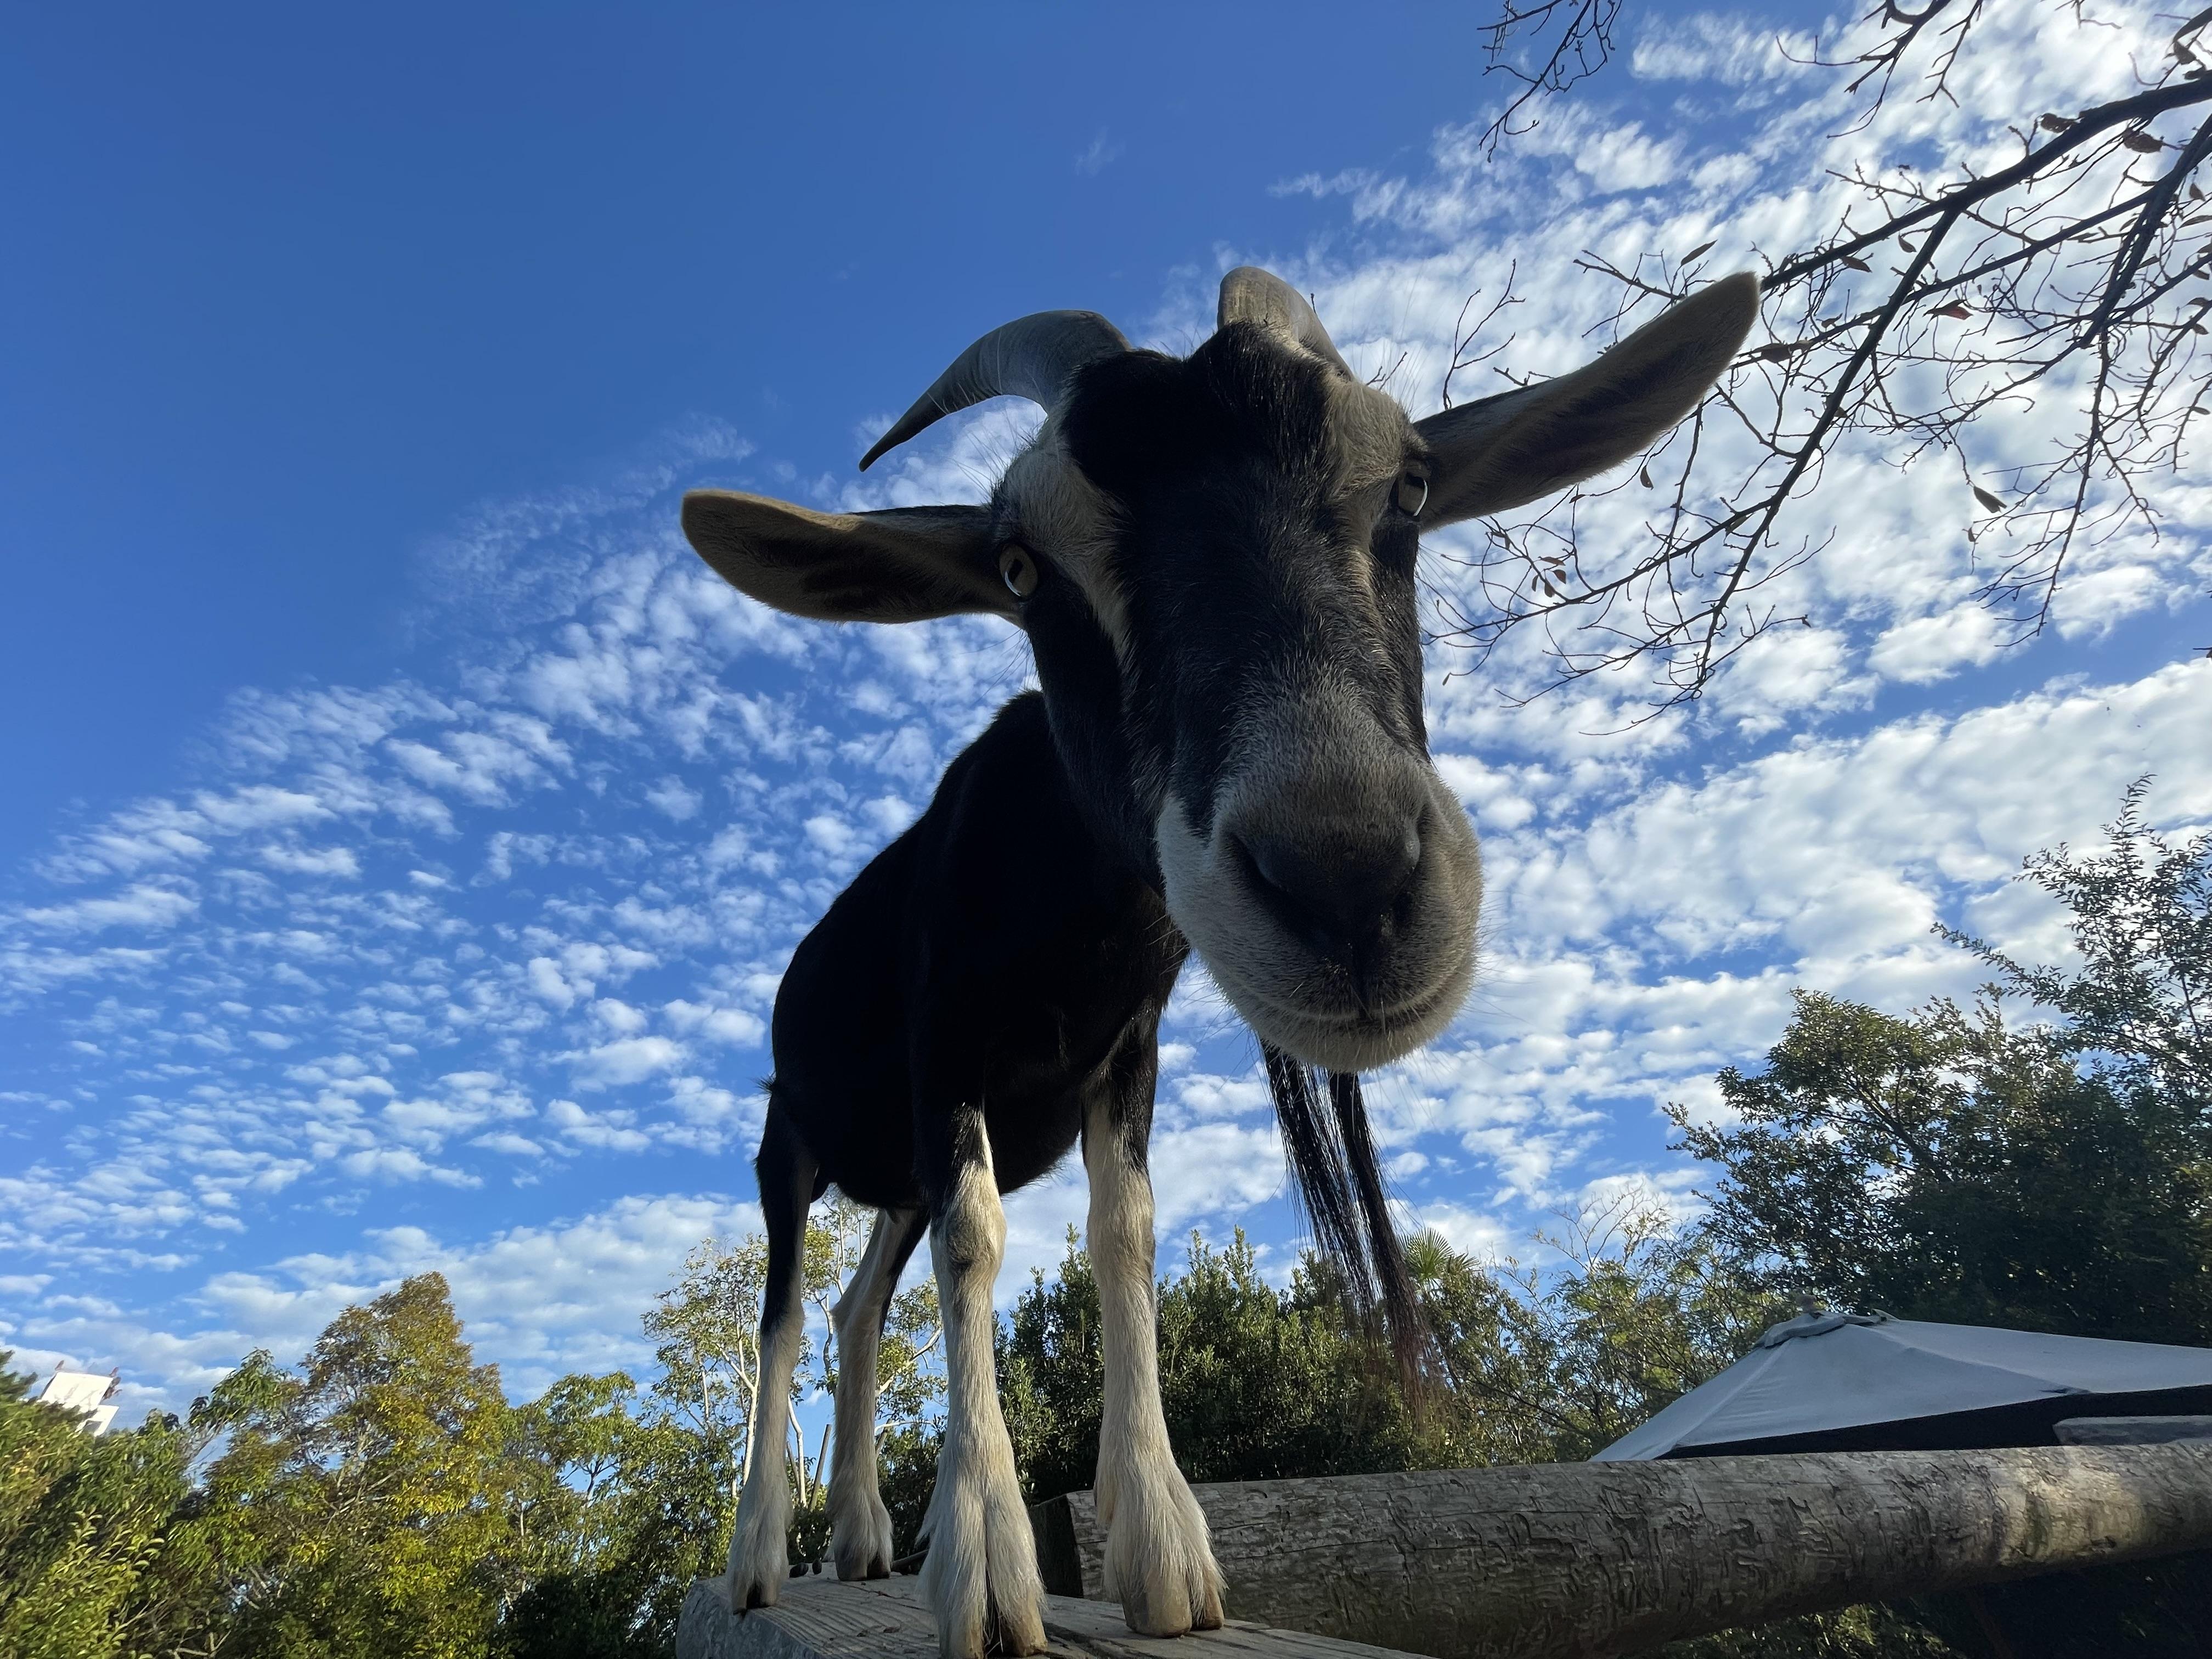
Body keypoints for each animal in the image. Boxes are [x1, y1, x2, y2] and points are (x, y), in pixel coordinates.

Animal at [681, 266, 1752, 1654]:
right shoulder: (943, 1040)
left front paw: (1163, 1550)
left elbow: (1123, 1237)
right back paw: (760, 1551)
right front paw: (985, 1568)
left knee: (862, 1306)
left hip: (890, 1175)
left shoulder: (1122, 1053)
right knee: (783, 1309)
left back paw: (860, 1535)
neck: (1067, 915)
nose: (1345, 876)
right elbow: (981, 1241)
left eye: (1411, 487)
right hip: (789, 1139)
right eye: (1020, 566)